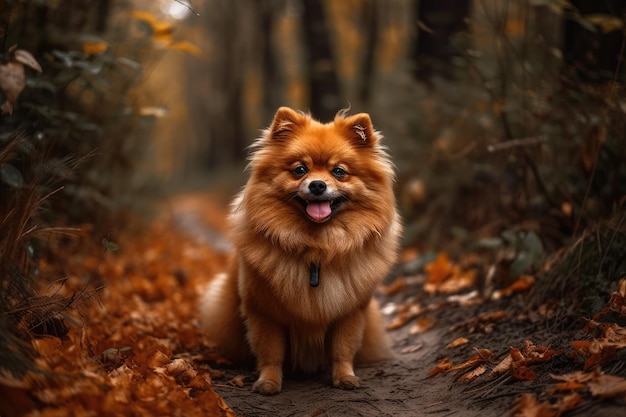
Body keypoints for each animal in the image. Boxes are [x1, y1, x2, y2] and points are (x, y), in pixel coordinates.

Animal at [200, 105, 400, 394]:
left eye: (339, 171)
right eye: (300, 169)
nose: (317, 184)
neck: (317, 247)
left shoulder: (351, 312)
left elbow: (343, 349)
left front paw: (345, 377)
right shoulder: (264, 312)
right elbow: (270, 351)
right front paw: (268, 382)